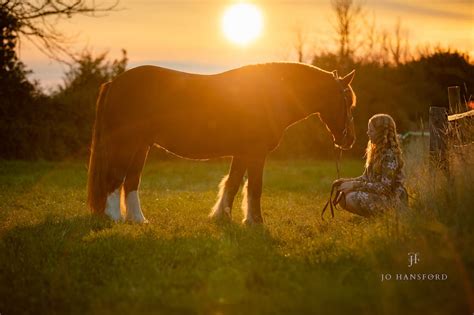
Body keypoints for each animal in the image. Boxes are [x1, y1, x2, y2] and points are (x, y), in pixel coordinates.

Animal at [88, 61, 356, 225]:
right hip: (126, 144)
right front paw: (255, 222)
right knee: (115, 179)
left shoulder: (243, 153)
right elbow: (254, 187)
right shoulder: (256, 154)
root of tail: (115, 83)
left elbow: (233, 183)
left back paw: (138, 220)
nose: (349, 140)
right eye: (348, 102)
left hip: (141, 146)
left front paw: (221, 217)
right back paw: (113, 217)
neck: (268, 95)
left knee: (131, 182)